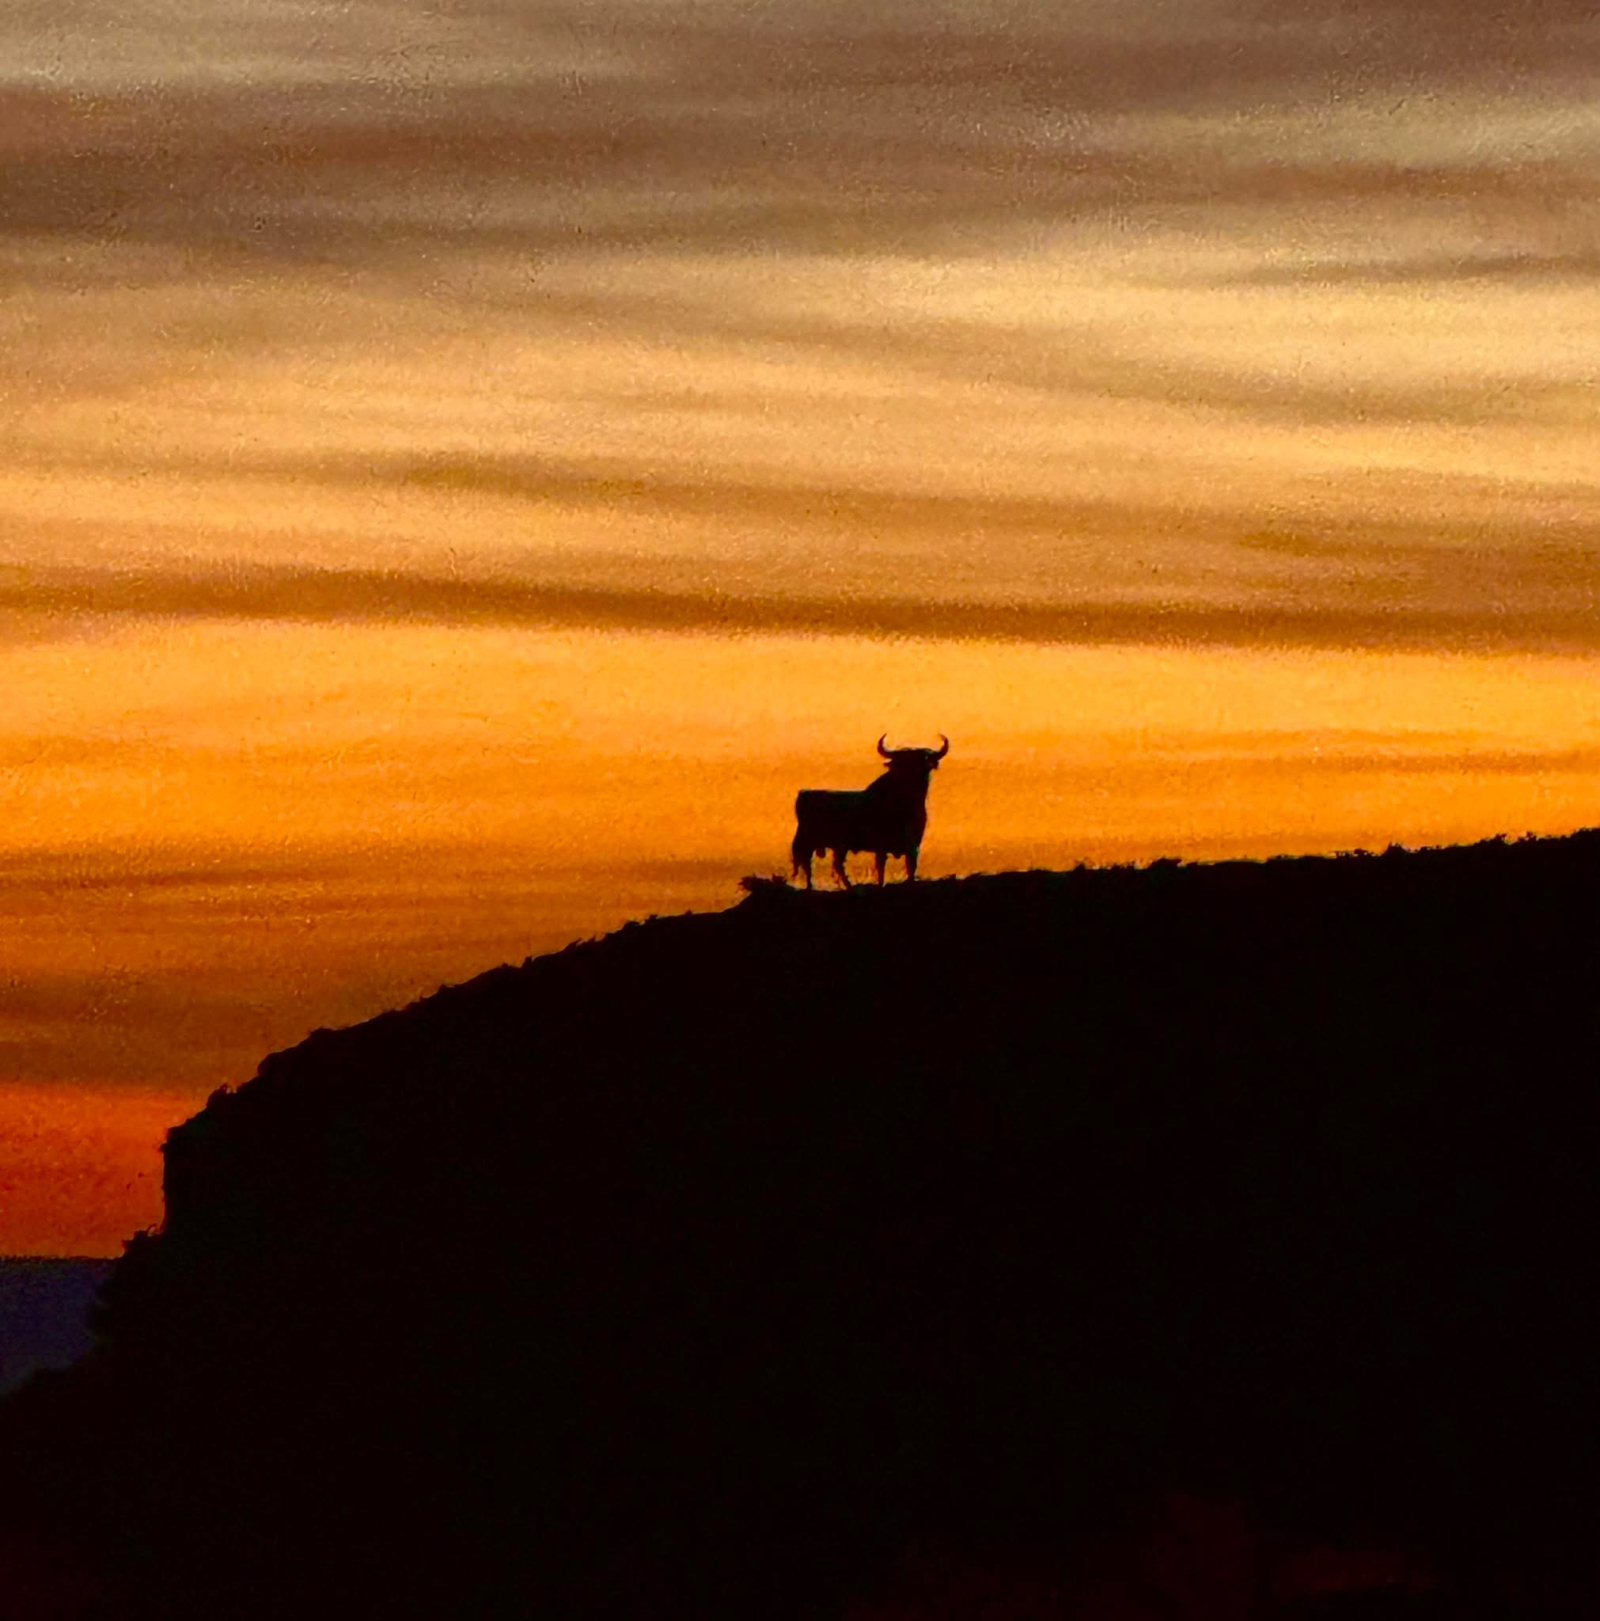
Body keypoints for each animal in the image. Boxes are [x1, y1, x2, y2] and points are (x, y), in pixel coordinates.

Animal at [791, 735, 949, 889]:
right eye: (901, 763)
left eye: (922, 761)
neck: (905, 805)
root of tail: (804, 793)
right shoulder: (882, 846)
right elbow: (881, 868)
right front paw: (881, 885)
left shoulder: (913, 846)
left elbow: (911, 868)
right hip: (808, 840)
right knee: (808, 863)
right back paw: (811, 887)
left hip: (839, 847)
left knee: (836, 864)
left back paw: (849, 887)